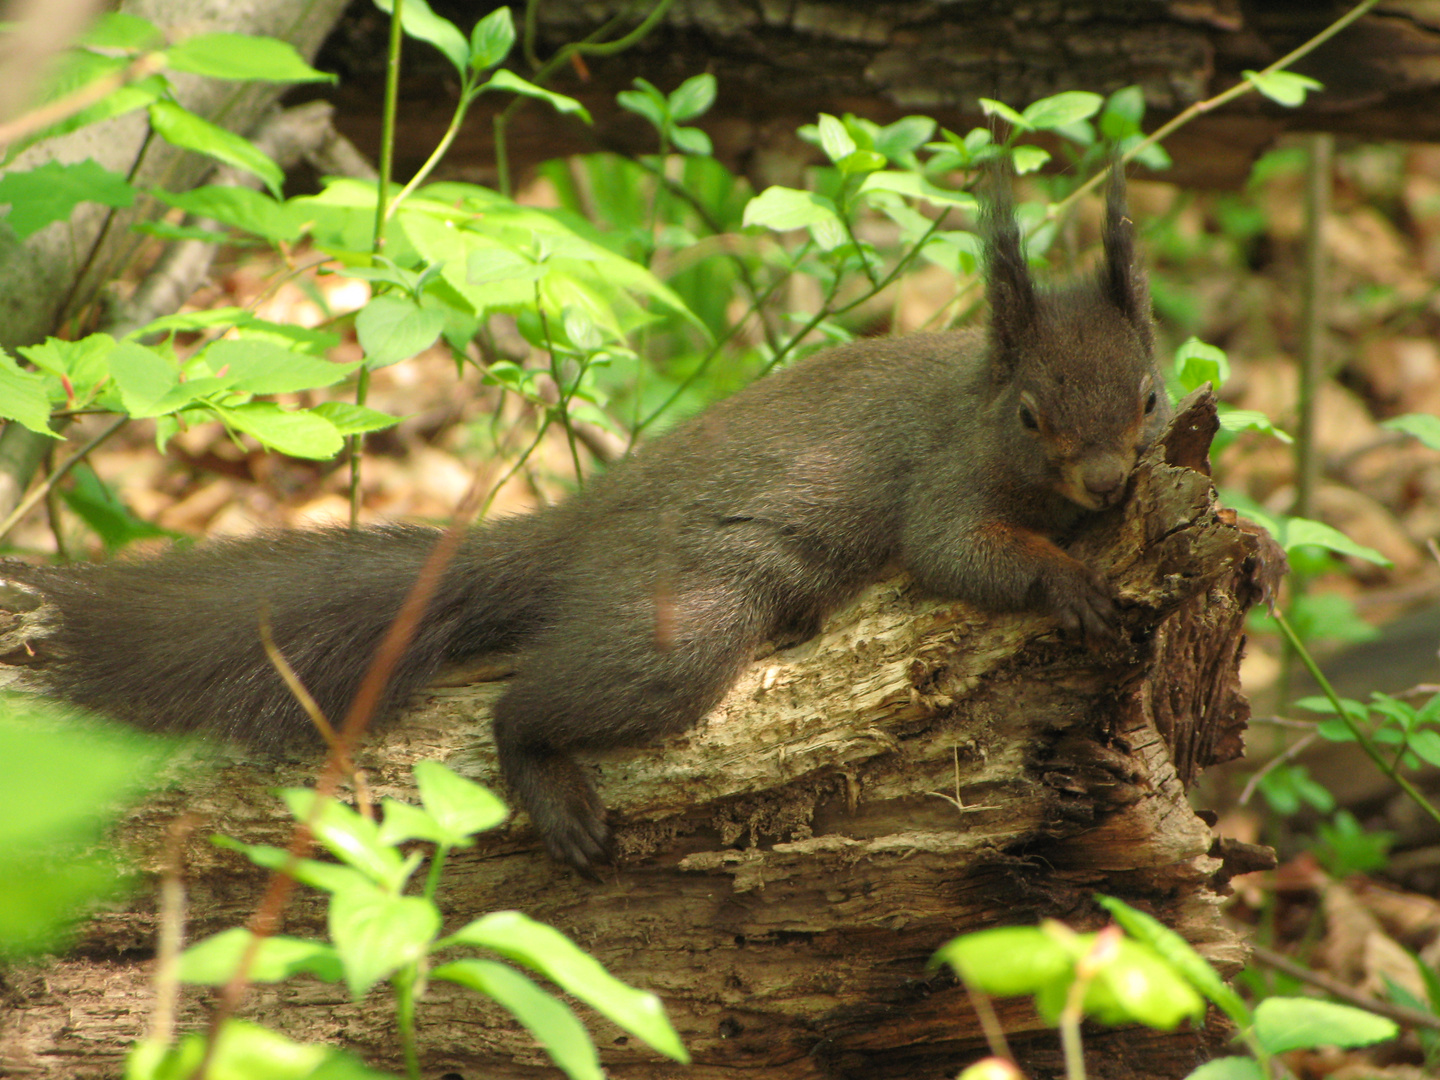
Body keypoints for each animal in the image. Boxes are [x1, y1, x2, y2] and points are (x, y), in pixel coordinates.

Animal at [0, 169, 1169, 881]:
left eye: (1152, 397)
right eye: (1032, 415)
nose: (1109, 481)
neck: (978, 405)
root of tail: (575, 533)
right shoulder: (941, 479)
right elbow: (956, 551)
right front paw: (1068, 582)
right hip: (683, 615)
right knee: (529, 705)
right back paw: (549, 776)